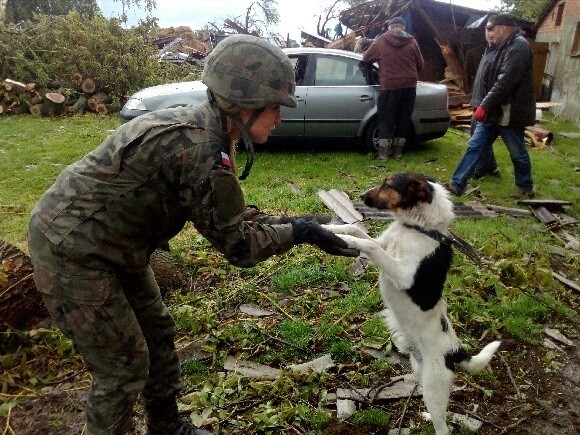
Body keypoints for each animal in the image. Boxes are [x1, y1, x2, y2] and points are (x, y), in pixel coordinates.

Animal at [326, 172, 502, 434]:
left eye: (388, 185)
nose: (361, 195)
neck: (418, 228)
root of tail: (456, 352)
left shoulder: (403, 274)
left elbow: (368, 244)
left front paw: (342, 238)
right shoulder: (384, 245)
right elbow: (357, 230)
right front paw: (327, 228)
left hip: (433, 385)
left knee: (444, 428)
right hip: (419, 369)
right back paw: (427, 416)